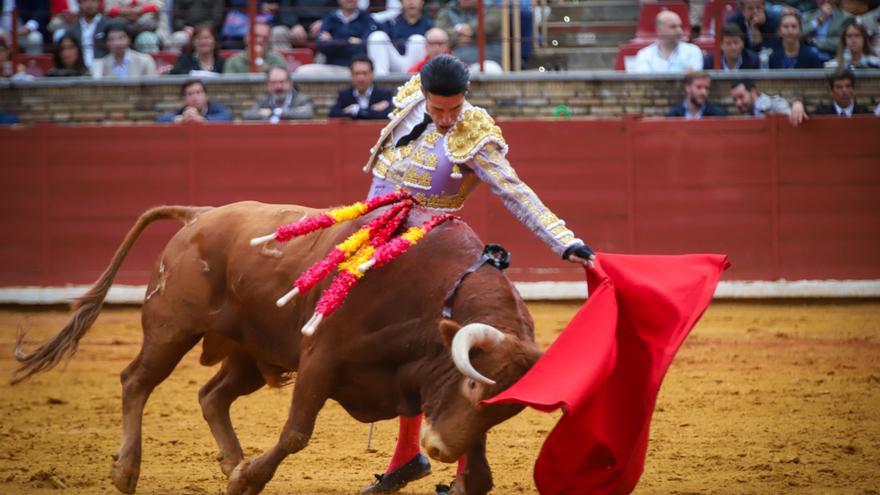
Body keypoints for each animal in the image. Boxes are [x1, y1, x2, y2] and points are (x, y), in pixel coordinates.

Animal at [13, 202, 544, 495]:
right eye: (472, 385)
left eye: (503, 407)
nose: (438, 448)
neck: (433, 290)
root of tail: (200, 215)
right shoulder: (321, 358)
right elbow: (296, 433)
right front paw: (249, 479)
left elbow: (479, 473)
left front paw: (242, 475)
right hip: (170, 329)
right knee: (136, 381)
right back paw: (127, 471)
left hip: (249, 354)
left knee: (211, 395)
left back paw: (231, 460)